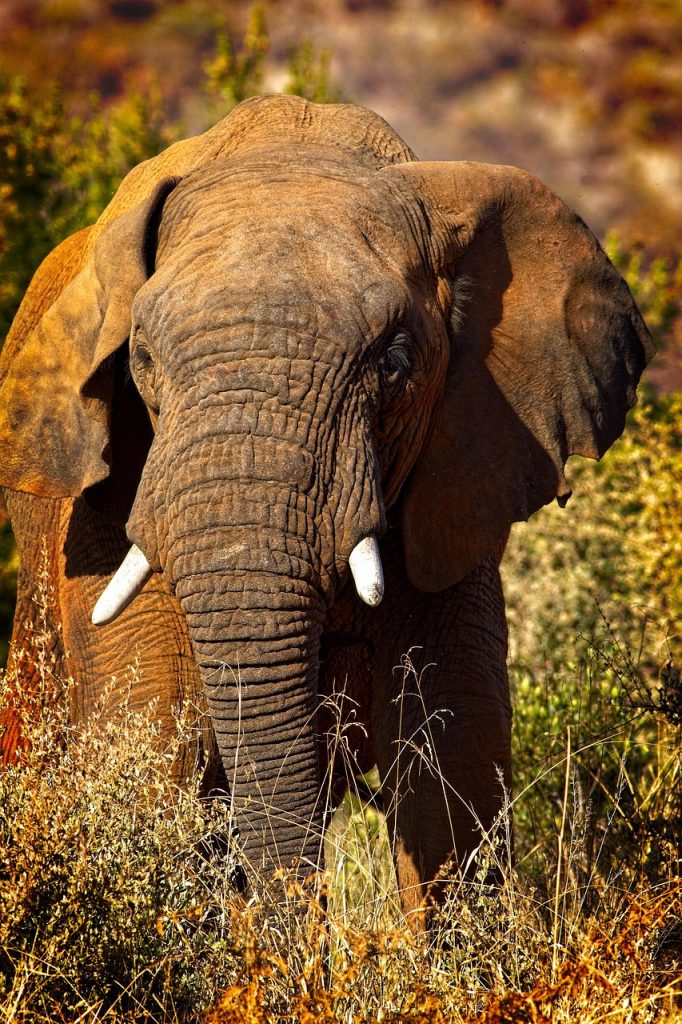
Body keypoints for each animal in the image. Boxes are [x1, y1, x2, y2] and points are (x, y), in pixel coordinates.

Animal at [0, 94, 653, 914]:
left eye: (395, 362)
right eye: (141, 359)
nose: (306, 929)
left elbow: (453, 747)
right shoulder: (107, 499)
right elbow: (153, 738)